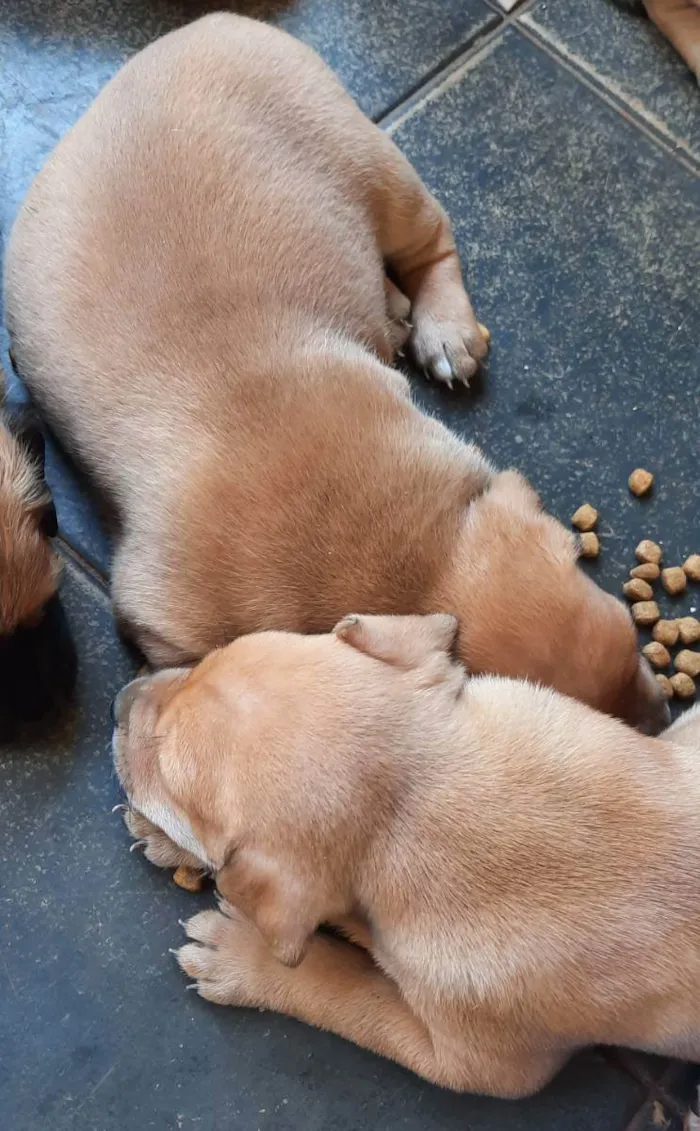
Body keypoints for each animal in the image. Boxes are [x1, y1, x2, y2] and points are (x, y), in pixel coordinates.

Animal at [4, 13, 669, 728]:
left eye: (635, 646)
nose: (663, 718)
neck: (418, 554)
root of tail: (213, 23)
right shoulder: (166, 618)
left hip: (373, 166)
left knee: (431, 245)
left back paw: (439, 327)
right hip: (372, 164)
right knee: (431, 242)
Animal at [112, 615, 700, 1099]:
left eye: (164, 763)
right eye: (200, 664)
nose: (119, 702)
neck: (419, 797)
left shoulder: (477, 1064)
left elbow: (354, 995)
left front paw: (241, 957)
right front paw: (163, 836)